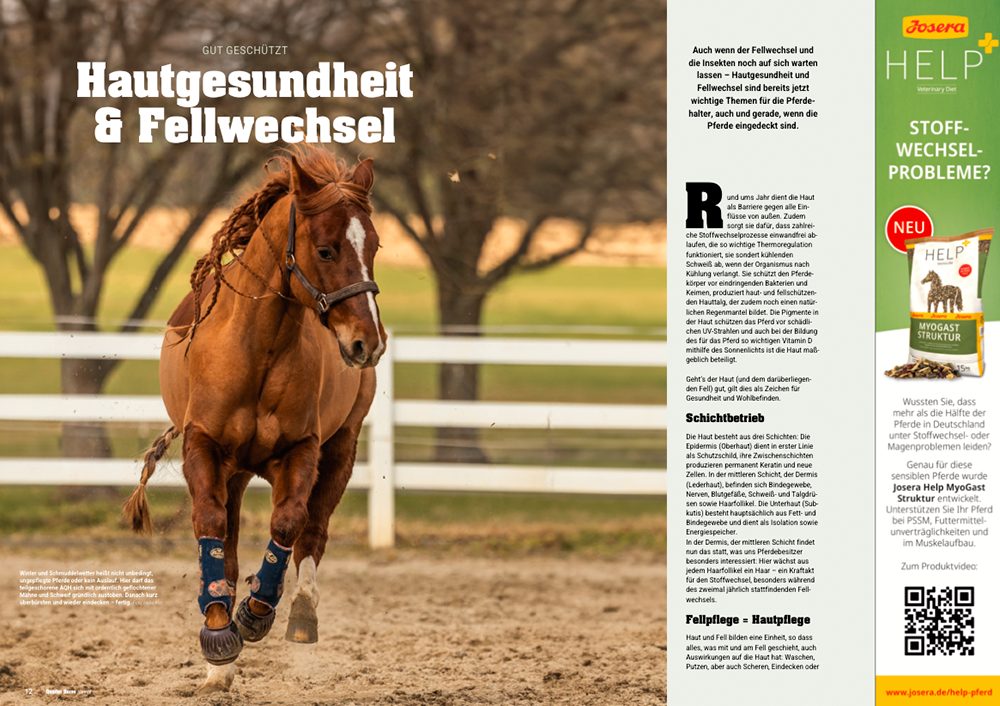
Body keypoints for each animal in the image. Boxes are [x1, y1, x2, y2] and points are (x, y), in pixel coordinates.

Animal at [122, 146, 386, 692]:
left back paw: (300, 615)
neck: (257, 347)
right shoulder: (204, 448)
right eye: (326, 250)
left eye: (373, 245)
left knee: (313, 532)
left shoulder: (302, 449)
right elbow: (211, 527)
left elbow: (288, 523)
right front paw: (218, 636)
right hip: (236, 471)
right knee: (229, 538)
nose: (367, 343)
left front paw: (254, 612)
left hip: (342, 448)